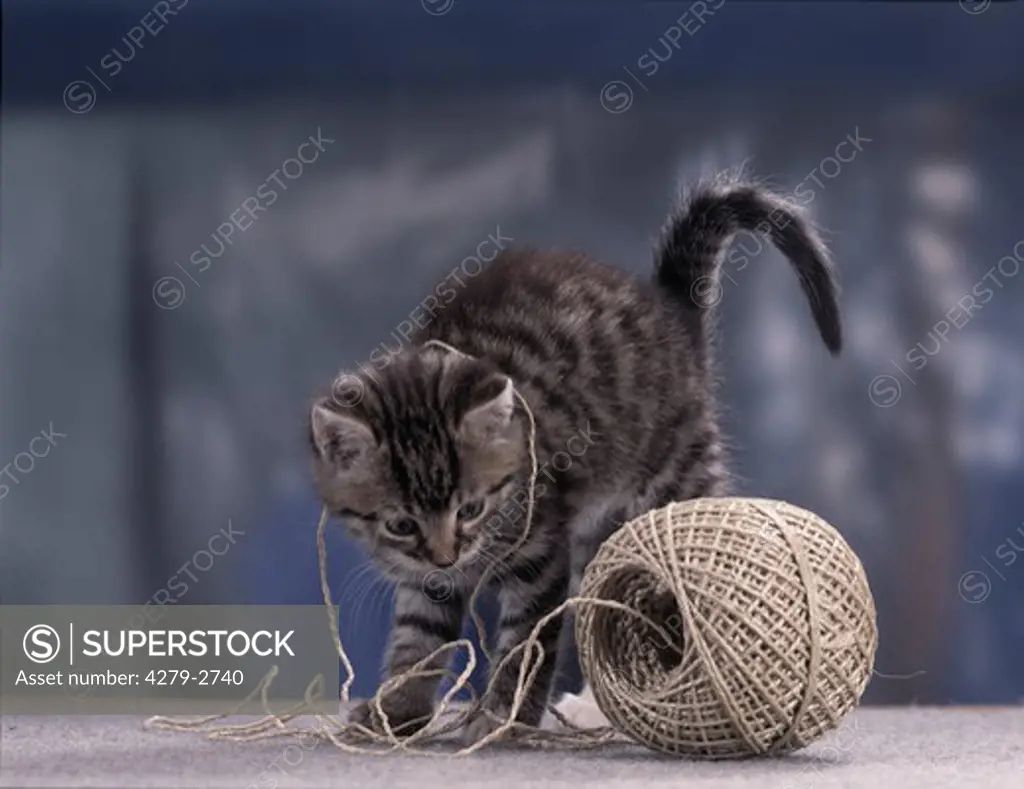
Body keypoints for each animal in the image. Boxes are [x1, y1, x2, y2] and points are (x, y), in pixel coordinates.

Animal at [305, 176, 839, 744]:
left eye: (470, 509)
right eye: (402, 523)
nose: (448, 556)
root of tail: (670, 309)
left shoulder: (540, 555)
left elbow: (526, 645)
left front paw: (504, 715)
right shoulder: (425, 578)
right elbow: (419, 637)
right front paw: (397, 709)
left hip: (674, 481)